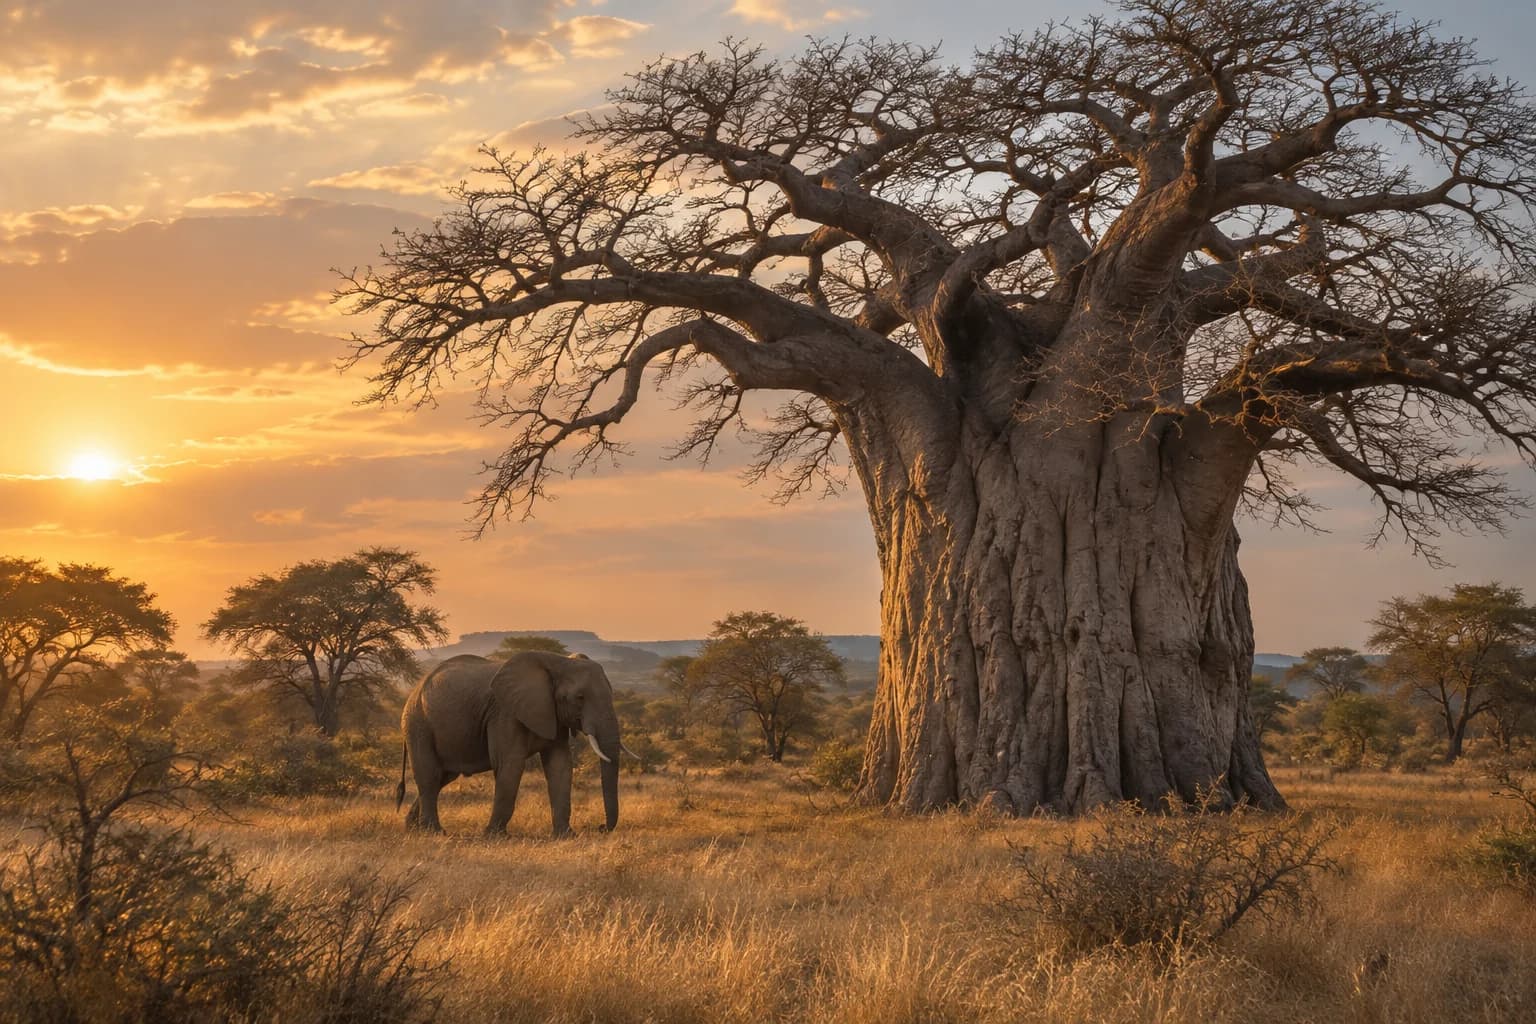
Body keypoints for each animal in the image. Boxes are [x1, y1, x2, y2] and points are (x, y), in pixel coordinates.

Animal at [395, 651, 625, 836]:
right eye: (580, 697)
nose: (600, 827)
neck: (558, 661)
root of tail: (414, 690)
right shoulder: (504, 713)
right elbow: (510, 764)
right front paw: (495, 836)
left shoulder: (553, 715)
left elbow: (560, 766)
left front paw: (566, 836)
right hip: (418, 724)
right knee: (430, 776)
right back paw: (433, 832)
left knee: (443, 777)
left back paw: (413, 828)